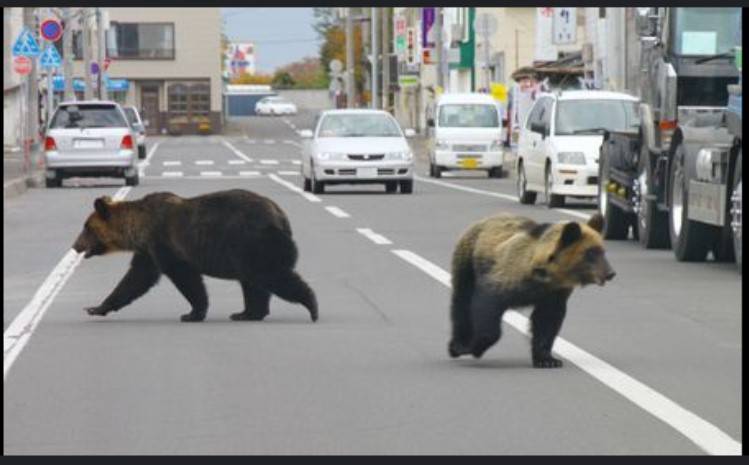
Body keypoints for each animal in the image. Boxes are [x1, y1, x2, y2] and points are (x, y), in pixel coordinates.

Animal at [71, 189, 318, 323]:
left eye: (87, 228)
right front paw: (96, 307)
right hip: (248, 251)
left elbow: (185, 277)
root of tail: (281, 216)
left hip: (253, 242)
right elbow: (135, 279)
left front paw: (192, 313)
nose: (75, 246)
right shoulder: (148, 250)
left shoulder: (164, 242)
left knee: (270, 275)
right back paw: (247, 312)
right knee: (253, 282)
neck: (139, 228)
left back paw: (311, 306)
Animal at [448, 213, 615, 368]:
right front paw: (474, 347)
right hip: (468, 261)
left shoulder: (553, 294)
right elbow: (486, 306)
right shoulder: (505, 277)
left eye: (603, 251)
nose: (610, 273)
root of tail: (484, 220)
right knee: (462, 301)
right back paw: (457, 345)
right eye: (591, 252)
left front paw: (548, 359)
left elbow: (547, 322)